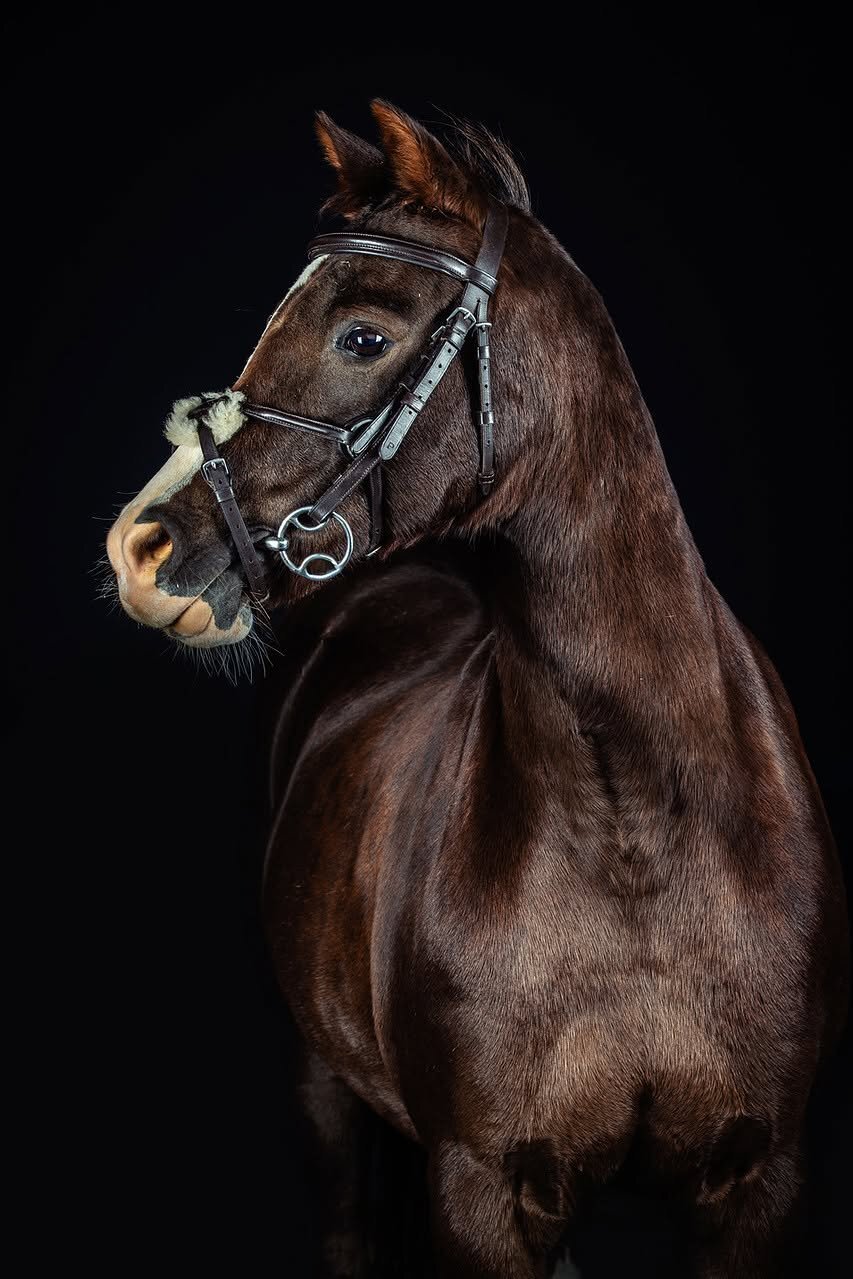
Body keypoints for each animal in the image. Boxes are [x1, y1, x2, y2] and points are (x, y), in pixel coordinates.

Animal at [105, 101, 848, 1277]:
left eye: (362, 335)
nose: (142, 547)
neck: (638, 831)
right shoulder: (482, 1186)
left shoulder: (757, 1182)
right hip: (326, 1092)